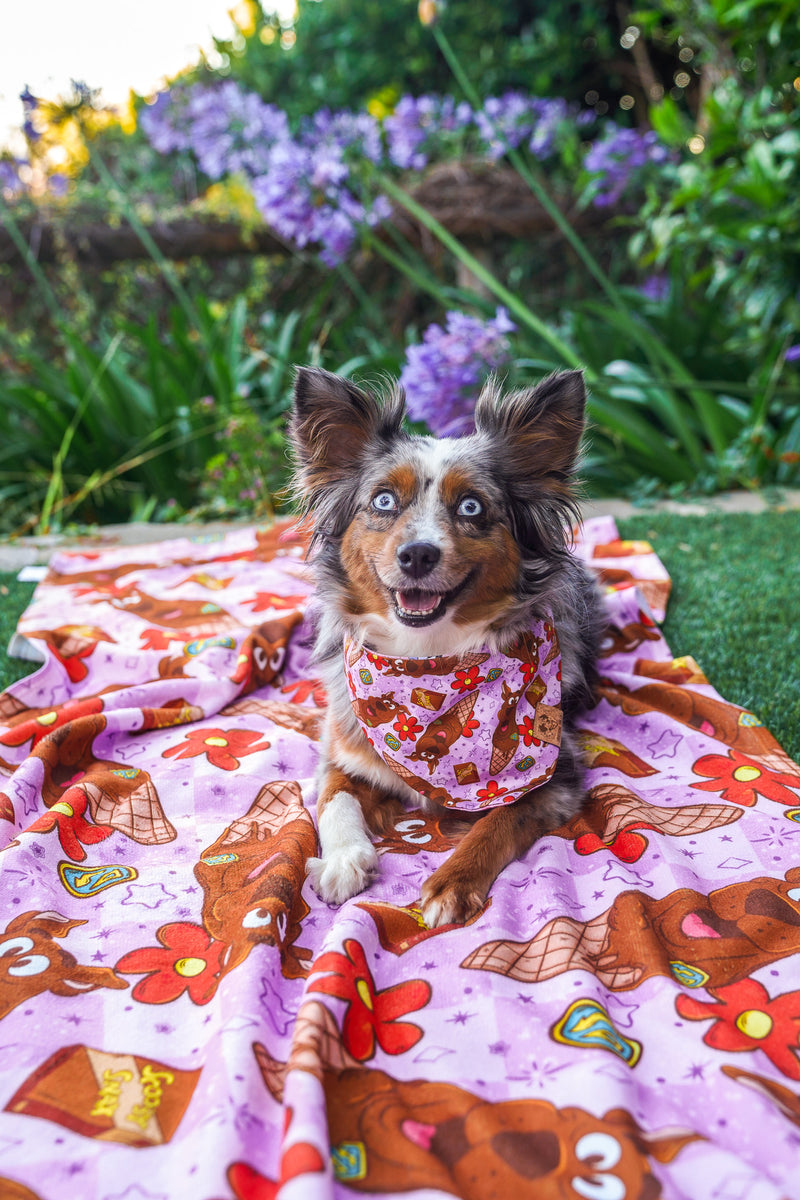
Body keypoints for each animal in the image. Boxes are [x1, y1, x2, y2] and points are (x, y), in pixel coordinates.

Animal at [291, 364, 604, 926]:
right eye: (384, 500)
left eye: (471, 506)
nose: (417, 555)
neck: (427, 660)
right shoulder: (344, 747)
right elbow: (333, 799)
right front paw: (345, 859)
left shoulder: (556, 778)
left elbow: (495, 822)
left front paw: (451, 885)